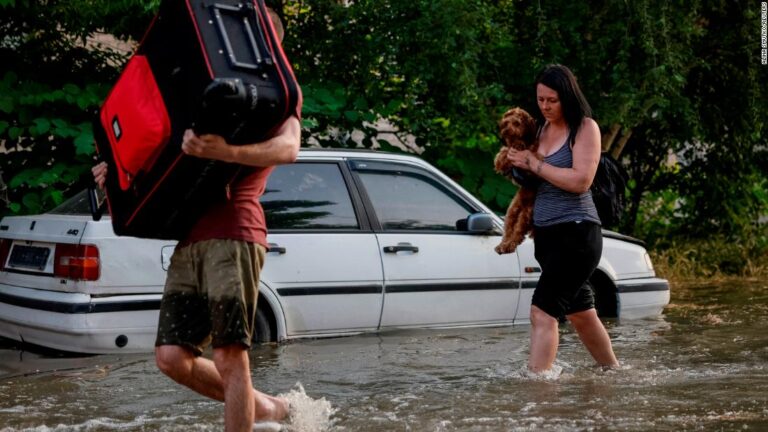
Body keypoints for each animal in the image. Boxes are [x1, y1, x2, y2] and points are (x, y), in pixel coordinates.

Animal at [496, 107, 536, 253]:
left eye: (517, 123)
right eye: (506, 121)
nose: (505, 128)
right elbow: (503, 153)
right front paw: (502, 159)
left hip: (526, 214)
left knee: (518, 234)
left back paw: (508, 245)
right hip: (512, 211)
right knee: (508, 230)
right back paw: (502, 246)